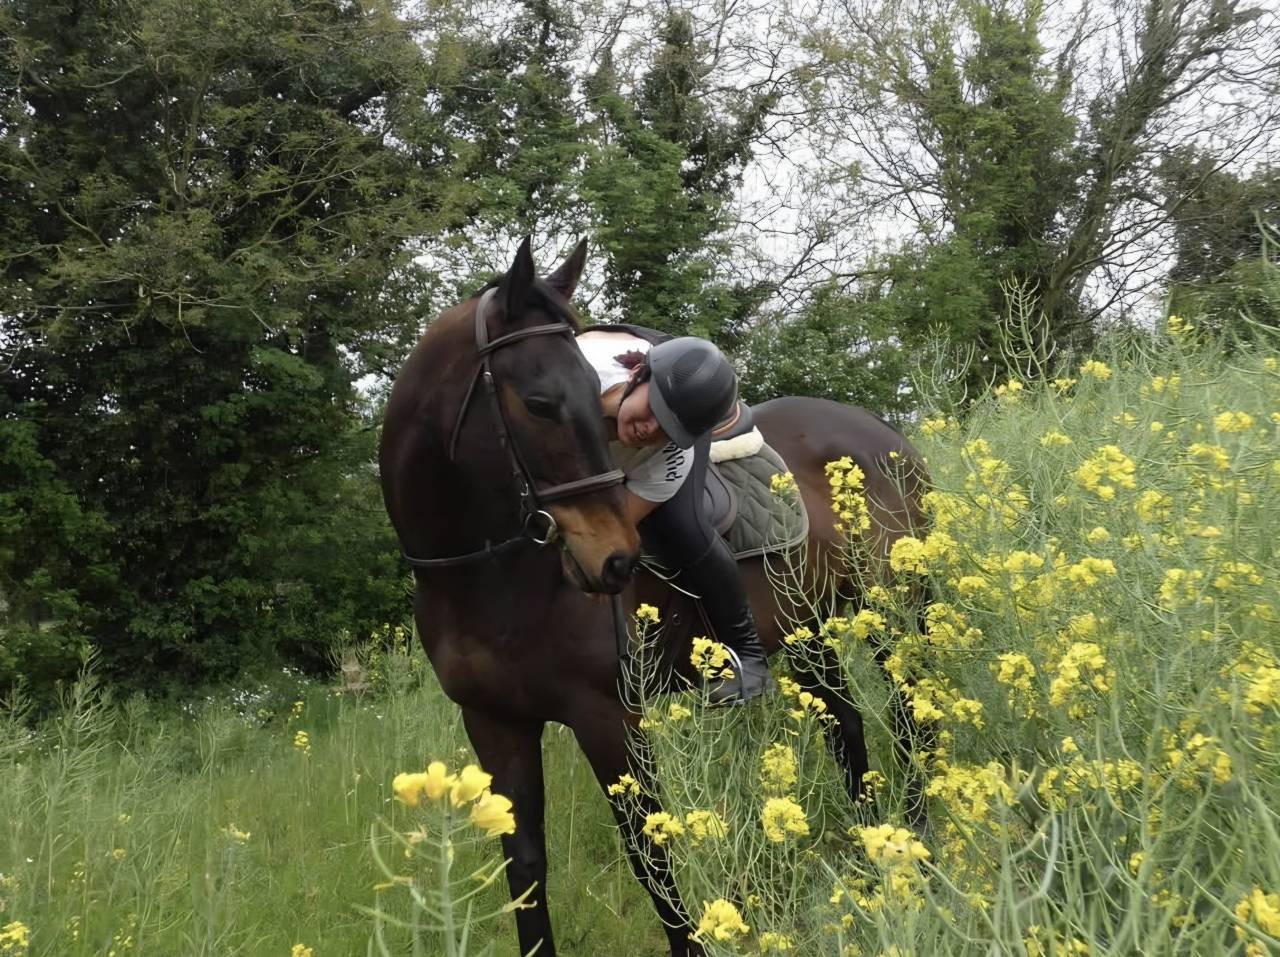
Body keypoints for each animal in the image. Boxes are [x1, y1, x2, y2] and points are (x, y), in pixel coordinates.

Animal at [378, 238, 931, 957]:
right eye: (538, 402)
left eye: (592, 396)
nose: (614, 560)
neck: (481, 576)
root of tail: (886, 434)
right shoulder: (494, 722)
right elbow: (524, 864)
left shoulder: (607, 716)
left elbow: (650, 854)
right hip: (808, 629)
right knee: (847, 725)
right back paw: (871, 856)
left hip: (890, 611)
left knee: (908, 713)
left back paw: (915, 842)